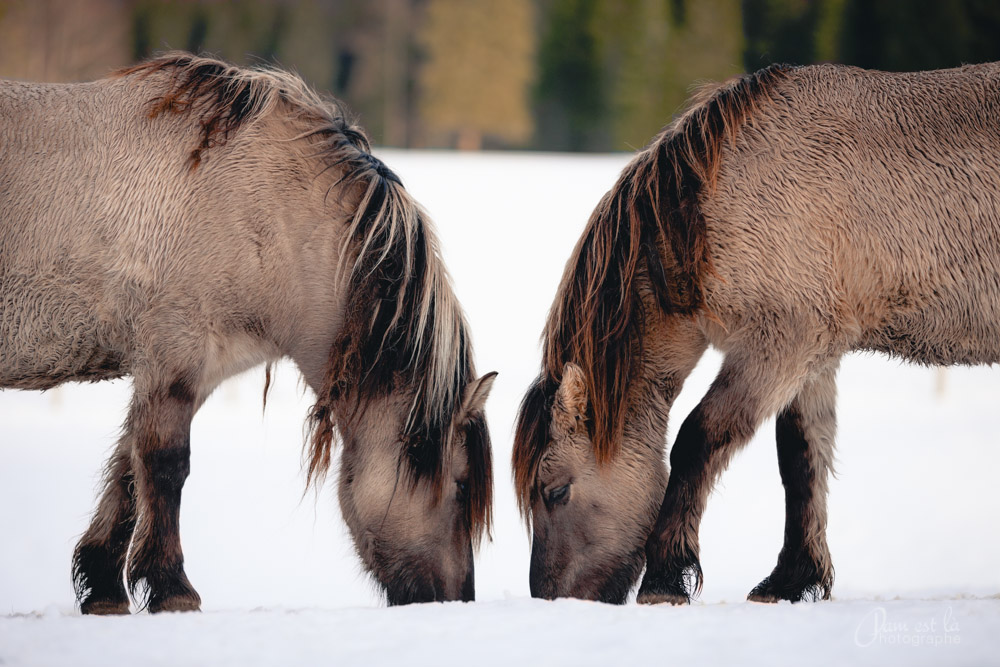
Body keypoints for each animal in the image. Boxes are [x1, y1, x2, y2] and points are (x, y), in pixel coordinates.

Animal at [0, 53, 498, 616]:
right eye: (461, 486)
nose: (457, 601)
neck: (264, 210)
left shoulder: (187, 371)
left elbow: (129, 470)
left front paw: (105, 587)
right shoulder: (175, 355)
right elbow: (165, 466)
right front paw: (173, 588)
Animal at [516, 61, 1000, 604]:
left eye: (555, 490)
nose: (549, 597)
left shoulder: (782, 345)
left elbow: (698, 440)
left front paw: (665, 578)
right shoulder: (815, 355)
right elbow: (801, 459)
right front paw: (792, 579)